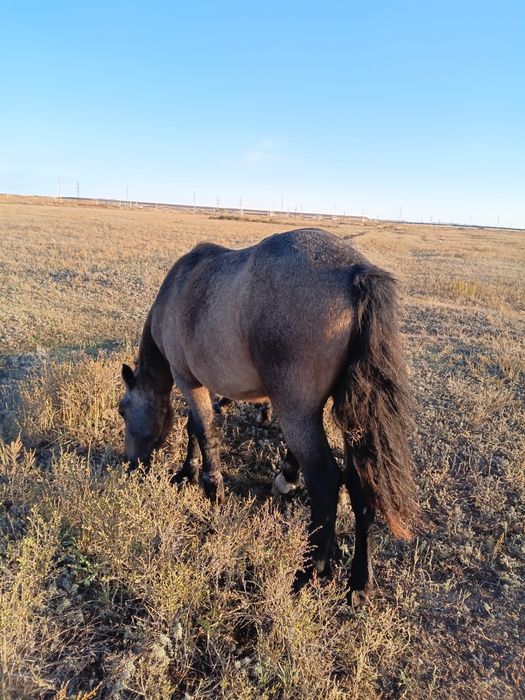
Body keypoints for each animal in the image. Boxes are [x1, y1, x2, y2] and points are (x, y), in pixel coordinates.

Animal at [119, 228, 417, 596]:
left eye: (122, 411)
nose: (131, 463)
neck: (180, 286)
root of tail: (355, 271)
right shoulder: (205, 384)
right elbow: (194, 428)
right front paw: (190, 471)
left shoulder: (189, 381)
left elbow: (203, 431)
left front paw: (209, 490)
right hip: (351, 420)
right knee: (361, 483)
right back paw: (359, 584)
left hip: (297, 412)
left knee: (325, 481)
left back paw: (309, 571)